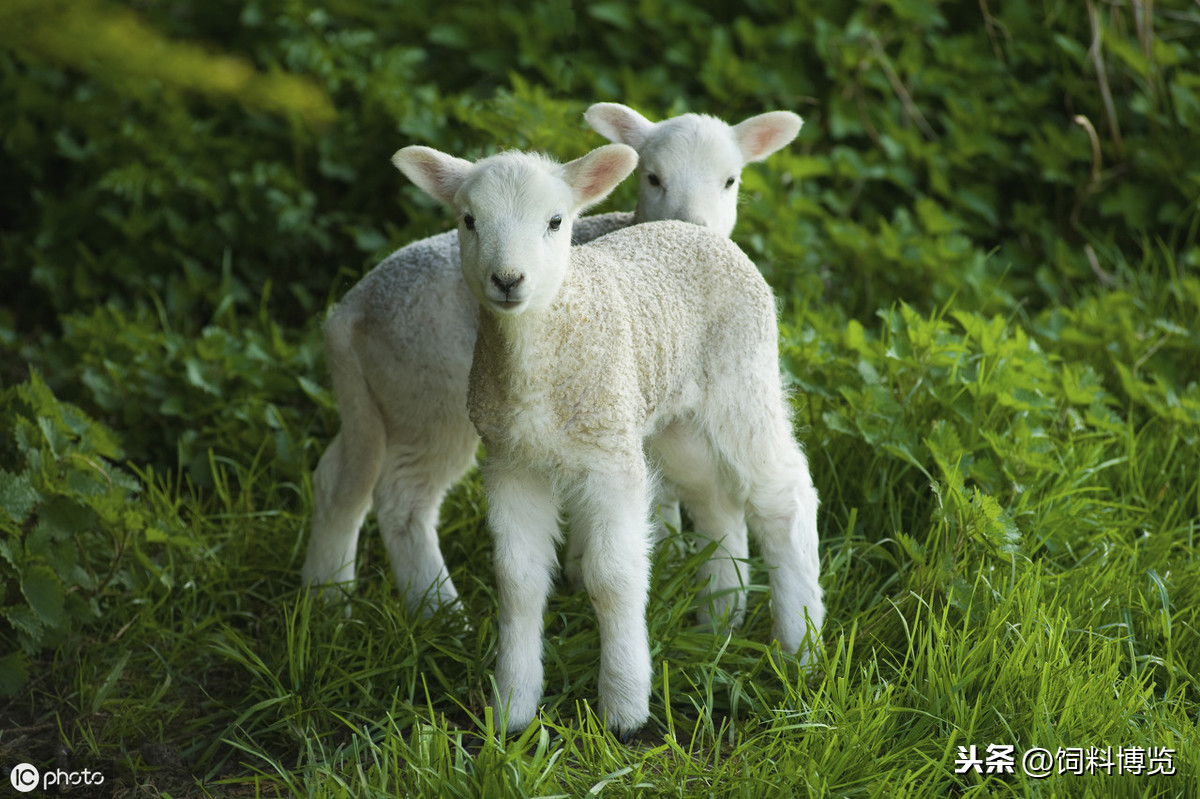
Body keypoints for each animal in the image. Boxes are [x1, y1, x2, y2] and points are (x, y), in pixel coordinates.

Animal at [304, 104, 801, 614]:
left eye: (731, 181)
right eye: (653, 177)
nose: (694, 228)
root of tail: (350, 311)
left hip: (382, 398)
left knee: (340, 480)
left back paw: (325, 597)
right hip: (430, 400)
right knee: (404, 499)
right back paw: (440, 611)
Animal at [393, 143, 825, 734]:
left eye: (556, 221)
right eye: (468, 220)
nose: (507, 280)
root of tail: (698, 230)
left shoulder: (609, 459)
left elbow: (613, 577)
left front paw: (623, 709)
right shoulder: (510, 462)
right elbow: (519, 582)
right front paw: (511, 709)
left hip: (743, 375)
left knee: (784, 495)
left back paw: (802, 646)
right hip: (670, 414)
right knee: (714, 498)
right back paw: (719, 619)